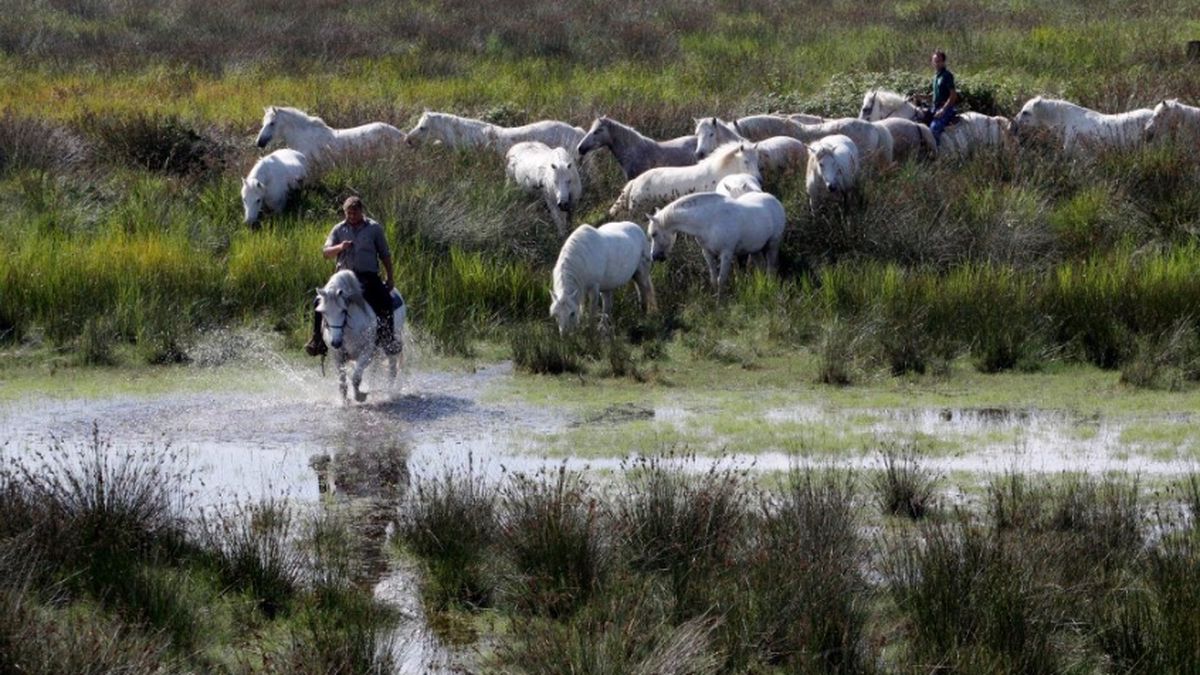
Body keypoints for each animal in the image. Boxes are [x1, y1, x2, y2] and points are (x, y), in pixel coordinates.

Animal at [316, 270, 406, 403]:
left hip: (390, 344)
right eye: (323, 312)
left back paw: (389, 394)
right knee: (374, 370)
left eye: (343, 311)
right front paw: (344, 403)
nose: (336, 342)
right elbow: (342, 382)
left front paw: (360, 396)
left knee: (392, 369)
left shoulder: (366, 352)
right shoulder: (337, 355)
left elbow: (356, 377)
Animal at [648, 191, 787, 294]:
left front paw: (721, 304)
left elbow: (721, 280)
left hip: (773, 245)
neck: (709, 220)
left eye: (654, 234)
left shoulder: (726, 254)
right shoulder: (707, 253)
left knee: (771, 269)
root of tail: (775, 200)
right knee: (761, 268)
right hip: (755, 250)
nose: (654, 256)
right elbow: (714, 280)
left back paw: (769, 287)